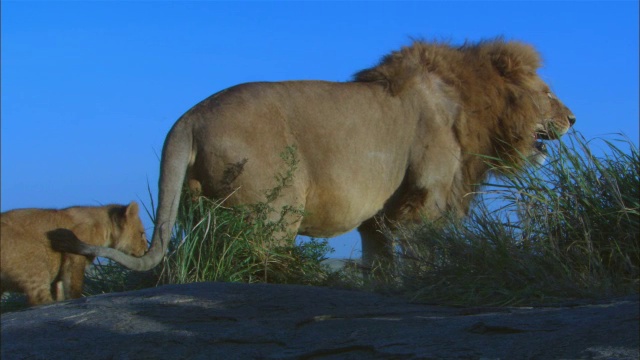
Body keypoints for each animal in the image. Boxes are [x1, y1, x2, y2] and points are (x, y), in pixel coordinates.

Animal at [52, 38, 576, 272]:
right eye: (548, 93)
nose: (573, 118)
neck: (471, 103)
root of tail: (188, 118)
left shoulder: (380, 217)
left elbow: (382, 267)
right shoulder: (422, 202)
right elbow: (422, 255)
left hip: (206, 208)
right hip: (275, 211)